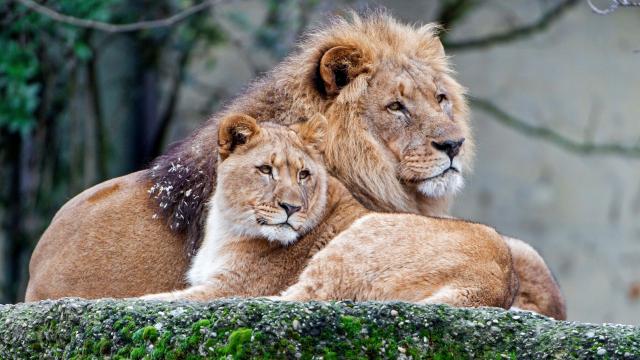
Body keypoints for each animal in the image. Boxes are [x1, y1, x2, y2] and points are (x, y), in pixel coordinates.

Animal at [142, 113, 516, 310]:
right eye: (266, 170)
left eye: (304, 174)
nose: (291, 208)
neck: (227, 225)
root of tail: (496, 283)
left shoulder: (229, 288)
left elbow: (158, 297)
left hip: (355, 242)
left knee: (296, 299)